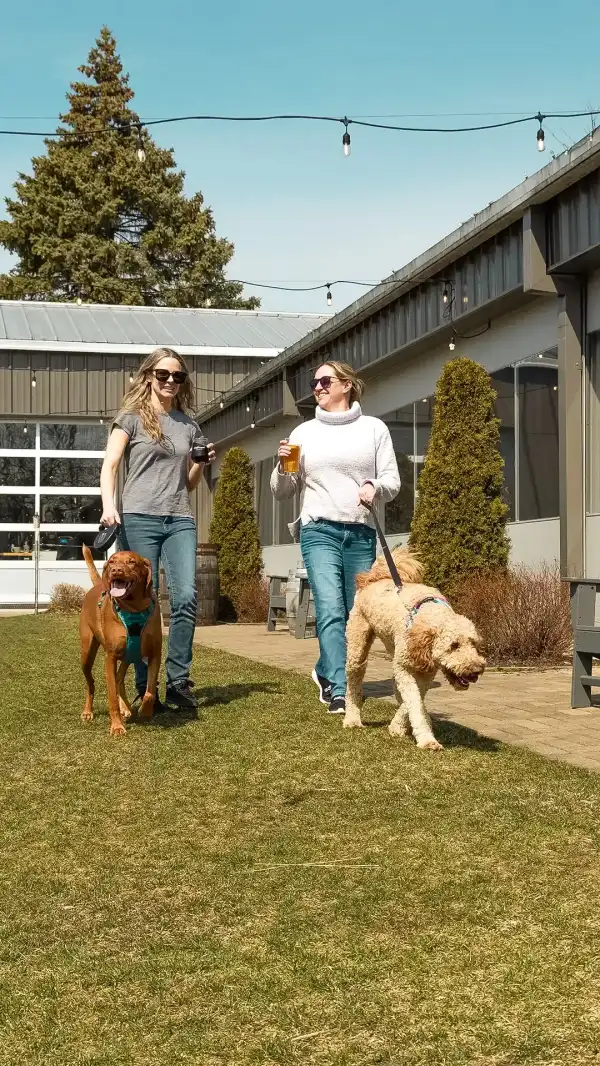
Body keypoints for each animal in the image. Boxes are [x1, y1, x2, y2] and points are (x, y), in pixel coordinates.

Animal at [80, 550, 164, 733]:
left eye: (132, 562)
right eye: (112, 561)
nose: (116, 570)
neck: (134, 609)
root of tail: (97, 586)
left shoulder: (155, 653)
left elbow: (150, 691)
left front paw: (145, 710)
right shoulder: (110, 657)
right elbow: (111, 695)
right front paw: (117, 726)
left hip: (127, 656)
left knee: (119, 679)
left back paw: (126, 707)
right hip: (86, 654)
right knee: (91, 683)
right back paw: (88, 711)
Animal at [345, 550, 485, 750]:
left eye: (474, 644)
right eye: (453, 646)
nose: (476, 670)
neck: (428, 615)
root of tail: (373, 579)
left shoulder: (425, 672)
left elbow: (412, 701)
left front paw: (398, 727)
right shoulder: (405, 668)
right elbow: (414, 702)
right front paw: (427, 739)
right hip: (357, 644)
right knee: (353, 684)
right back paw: (352, 719)